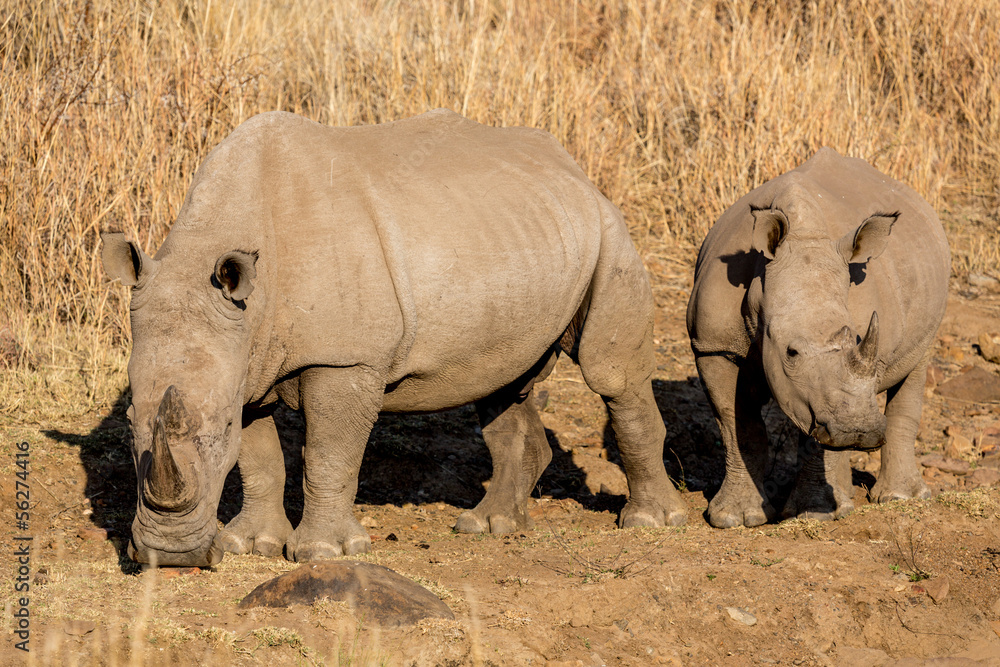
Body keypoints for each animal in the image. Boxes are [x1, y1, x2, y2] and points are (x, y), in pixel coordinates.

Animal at [102, 109, 686, 567]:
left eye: (219, 425)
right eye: (128, 420)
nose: (170, 558)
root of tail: (574, 168)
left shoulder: (345, 359)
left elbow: (329, 453)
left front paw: (323, 553)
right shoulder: (248, 357)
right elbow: (259, 458)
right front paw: (252, 546)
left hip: (608, 229)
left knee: (609, 374)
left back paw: (652, 522)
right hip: (521, 233)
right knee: (502, 385)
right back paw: (490, 526)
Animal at [686, 148, 950, 528]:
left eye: (857, 339)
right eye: (791, 352)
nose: (859, 432)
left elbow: (819, 438)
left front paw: (814, 513)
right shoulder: (713, 347)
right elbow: (736, 424)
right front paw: (736, 518)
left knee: (916, 365)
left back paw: (897, 498)